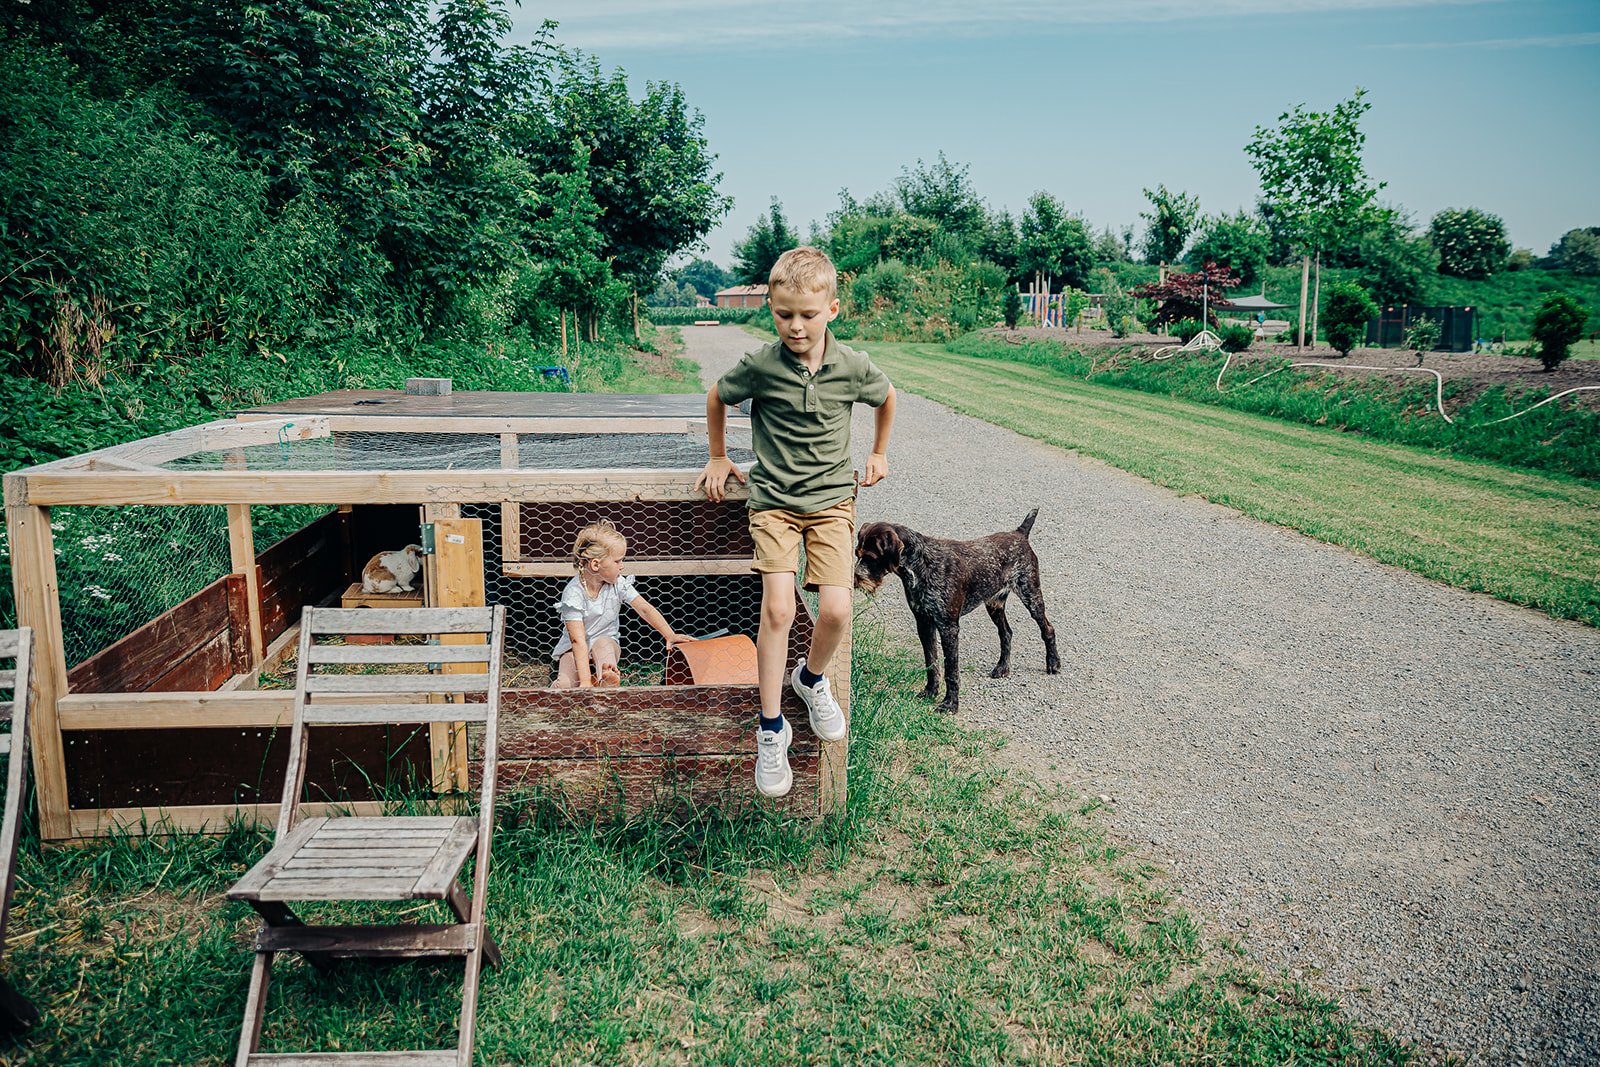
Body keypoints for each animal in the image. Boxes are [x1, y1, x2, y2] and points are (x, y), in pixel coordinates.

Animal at [857, 511, 1056, 713]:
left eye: (871, 557)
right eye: (857, 554)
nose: (856, 579)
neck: (921, 565)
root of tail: (1019, 534)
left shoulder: (948, 628)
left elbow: (951, 670)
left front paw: (950, 703)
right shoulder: (924, 623)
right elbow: (931, 663)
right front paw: (930, 691)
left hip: (1031, 596)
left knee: (1048, 629)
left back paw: (1053, 663)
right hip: (994, 604)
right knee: (1006, 633)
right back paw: (1002, 667)